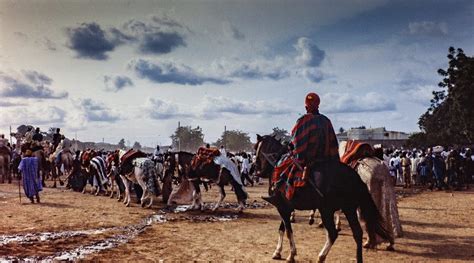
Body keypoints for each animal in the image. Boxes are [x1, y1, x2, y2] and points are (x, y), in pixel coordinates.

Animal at [256, 136, 392, 263]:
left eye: (257, 147)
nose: (256, 168)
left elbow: (288, 231)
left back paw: (321, 256)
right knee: (357, 233)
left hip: (326, 210)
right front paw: (278, 252)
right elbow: (282, 229)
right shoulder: (286, 207)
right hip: (349, 208)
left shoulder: (282, 207)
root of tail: (355, 177)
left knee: (333, 233)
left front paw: (291, 255)